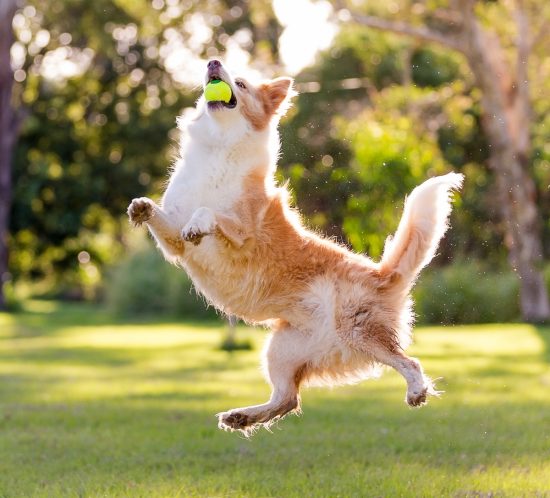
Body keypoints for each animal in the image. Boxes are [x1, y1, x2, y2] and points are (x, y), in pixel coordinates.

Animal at [128, 57, 466, 432]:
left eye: (241, 83)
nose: (213, 62)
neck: (219, 148)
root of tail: (381, 275)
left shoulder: (244, 231)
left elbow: (210, 214)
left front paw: (200, 222)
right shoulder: (174, 241)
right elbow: (164, 219)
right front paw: (141, 207)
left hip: (356, 330)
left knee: (408, 361)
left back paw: (417, 390)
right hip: (282, 348)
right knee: (288, 398)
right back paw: (242, 417)